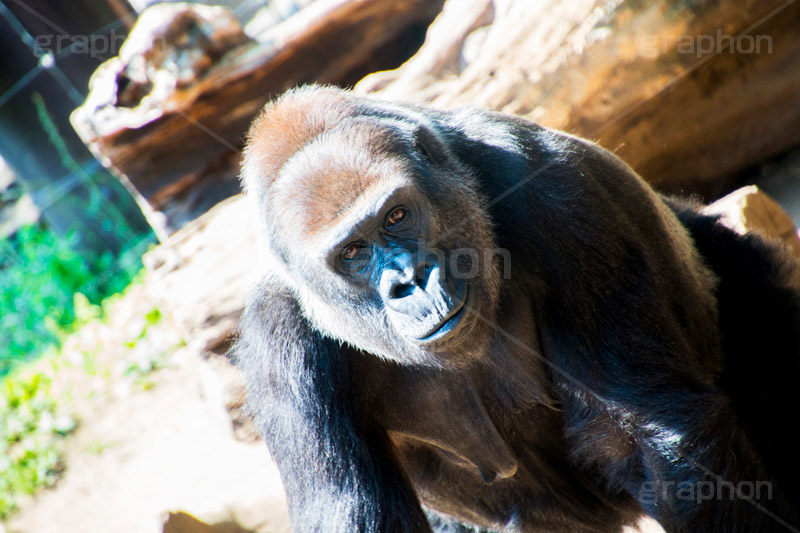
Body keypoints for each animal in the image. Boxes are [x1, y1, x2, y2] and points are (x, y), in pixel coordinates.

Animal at [233, 85, 800, 528]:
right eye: (352, 252)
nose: (410, 282)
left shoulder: (554, 190)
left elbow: (648, 438)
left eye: (397, 215)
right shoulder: (276, 339)